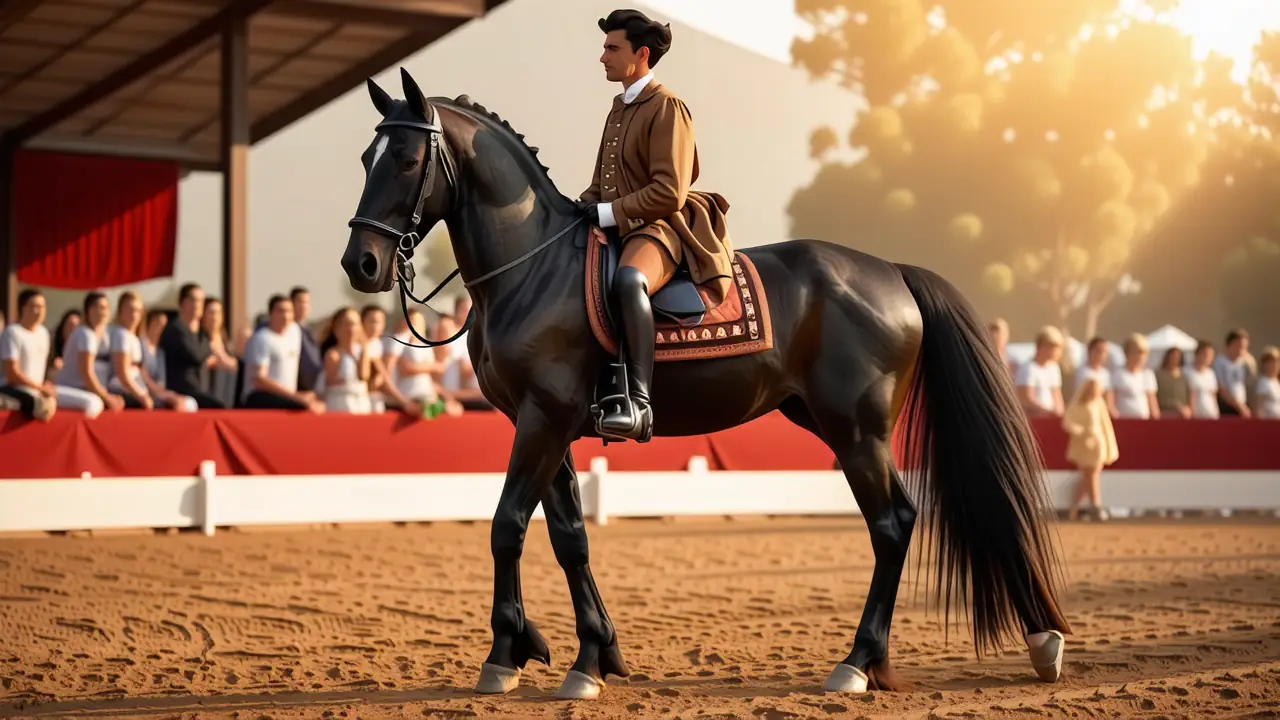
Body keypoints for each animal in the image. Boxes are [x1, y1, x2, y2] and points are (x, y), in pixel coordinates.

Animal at [339, 68, 1071, 700]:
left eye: (404, 161)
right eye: (364, 159)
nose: (361, 264)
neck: (531, 267)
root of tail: (890, 270)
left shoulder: (544, 419)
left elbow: (507, 526)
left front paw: (504, 656)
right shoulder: (544, 422)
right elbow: (570, 537)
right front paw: (588, 655)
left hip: (855, 429)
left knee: (892, 524)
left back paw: (858, 663)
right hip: (821, 418)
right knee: (900, 521)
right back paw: (1022, 643)